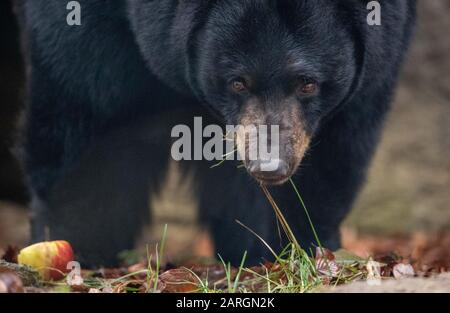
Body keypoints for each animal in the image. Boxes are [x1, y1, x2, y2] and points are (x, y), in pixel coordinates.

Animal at [14, 0, 414, 266]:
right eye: (238, 82)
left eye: (307, 83)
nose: (270, 166)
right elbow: (90, 108)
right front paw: (80, 248)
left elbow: (336, 151)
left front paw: (288, 248)